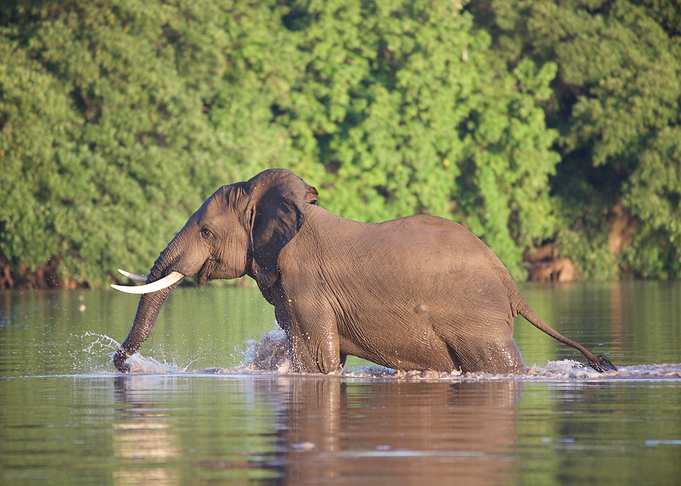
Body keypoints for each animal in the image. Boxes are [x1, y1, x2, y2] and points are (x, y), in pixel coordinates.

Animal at [112, 169, 617, 375]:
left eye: (206, 232)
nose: (119, 364)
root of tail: (511, 283)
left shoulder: (306, 286)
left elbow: (317, 363)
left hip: (479, 320)